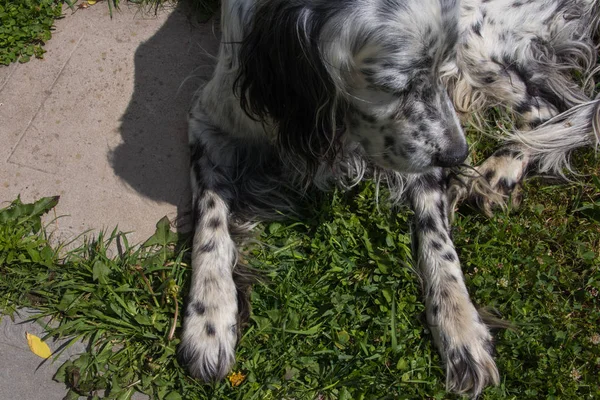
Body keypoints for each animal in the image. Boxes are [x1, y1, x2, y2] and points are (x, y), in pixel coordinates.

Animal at [179, 0, 600, 396]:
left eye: (438, 69)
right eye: (396, 86)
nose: (458, 156)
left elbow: (439, 246)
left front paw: (461, 326)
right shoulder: (210, 122)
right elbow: (210, 222)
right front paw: (208, 317)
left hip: (478, 46)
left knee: (544, 109)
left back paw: (498, 171)